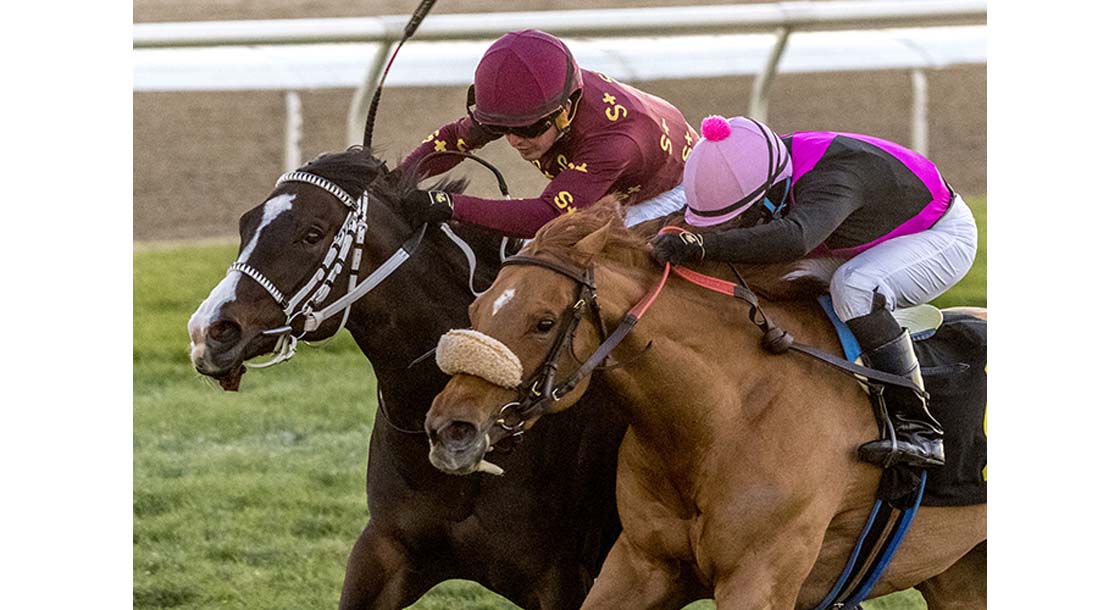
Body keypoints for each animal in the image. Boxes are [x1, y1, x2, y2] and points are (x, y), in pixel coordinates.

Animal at [425, 202, 990, 604]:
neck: (726, 417)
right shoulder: (641, 564)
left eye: (543, 322)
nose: (449, 429)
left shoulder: (759, 578)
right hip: (960, 574)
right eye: (476, 308)